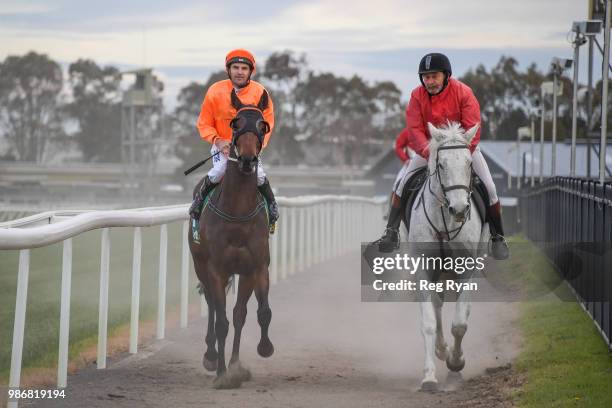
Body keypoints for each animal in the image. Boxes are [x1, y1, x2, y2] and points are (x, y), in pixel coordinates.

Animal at [186, 89, 272, 388]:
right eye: (235, 123)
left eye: (262, 125)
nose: (246, 160)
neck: (238, 213)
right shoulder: (216, 269)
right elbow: (222, 320)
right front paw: (223, 373)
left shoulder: (255, 268)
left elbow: (250, 314)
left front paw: (243, 361)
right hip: (200, 265)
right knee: (213, 306)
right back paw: (211, 356)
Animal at [406, 122, 488, 392]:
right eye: (441, 165)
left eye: (469, 163)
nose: (460, 209)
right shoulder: (423, 269)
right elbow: (429, 322)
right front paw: (429, 377)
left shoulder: (466, 270)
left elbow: (460, 324)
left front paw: (456, 362)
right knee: (437, 305)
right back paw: (441, 350)